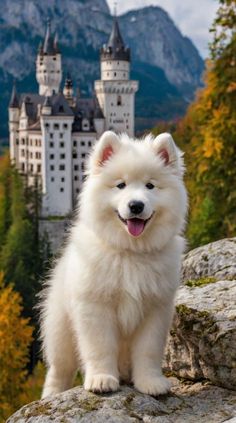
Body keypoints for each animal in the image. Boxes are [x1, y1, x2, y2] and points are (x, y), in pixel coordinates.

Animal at [41, 131, 188, 400]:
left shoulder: (155, 309)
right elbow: (100, 347)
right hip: (61, 331)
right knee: (59, 370)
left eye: (150, 186)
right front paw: (102, 379)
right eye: (120, 185)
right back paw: (51, 395)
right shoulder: (95, 307)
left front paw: (150, 382)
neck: (130, 252)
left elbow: (148, 350)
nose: (136, 205)